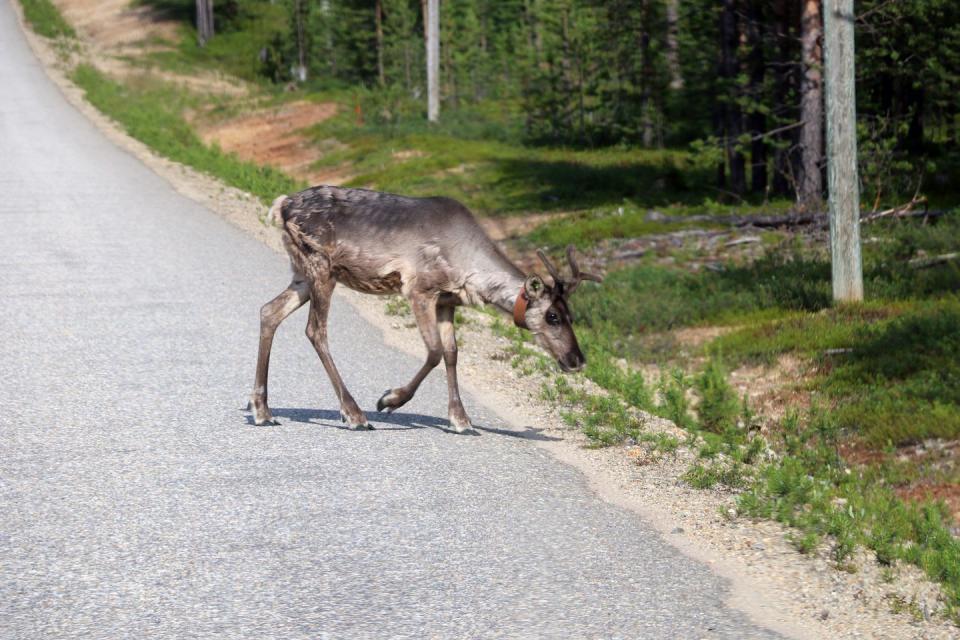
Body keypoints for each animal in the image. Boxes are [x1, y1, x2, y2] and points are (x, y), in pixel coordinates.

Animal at [251, 186, 604, 436]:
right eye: (552, 316)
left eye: (572, 316)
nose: (577, 360)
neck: (471, 267)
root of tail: (281, 205)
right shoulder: (420, 289)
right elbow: (434, 351)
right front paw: (390, 399)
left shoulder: (447, 301)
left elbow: (451, 353)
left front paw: (461, 419)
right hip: (321, 266)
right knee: (315, 330)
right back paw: (354, 414)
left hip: (304, 274)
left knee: (269, 311)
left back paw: (262, 410)